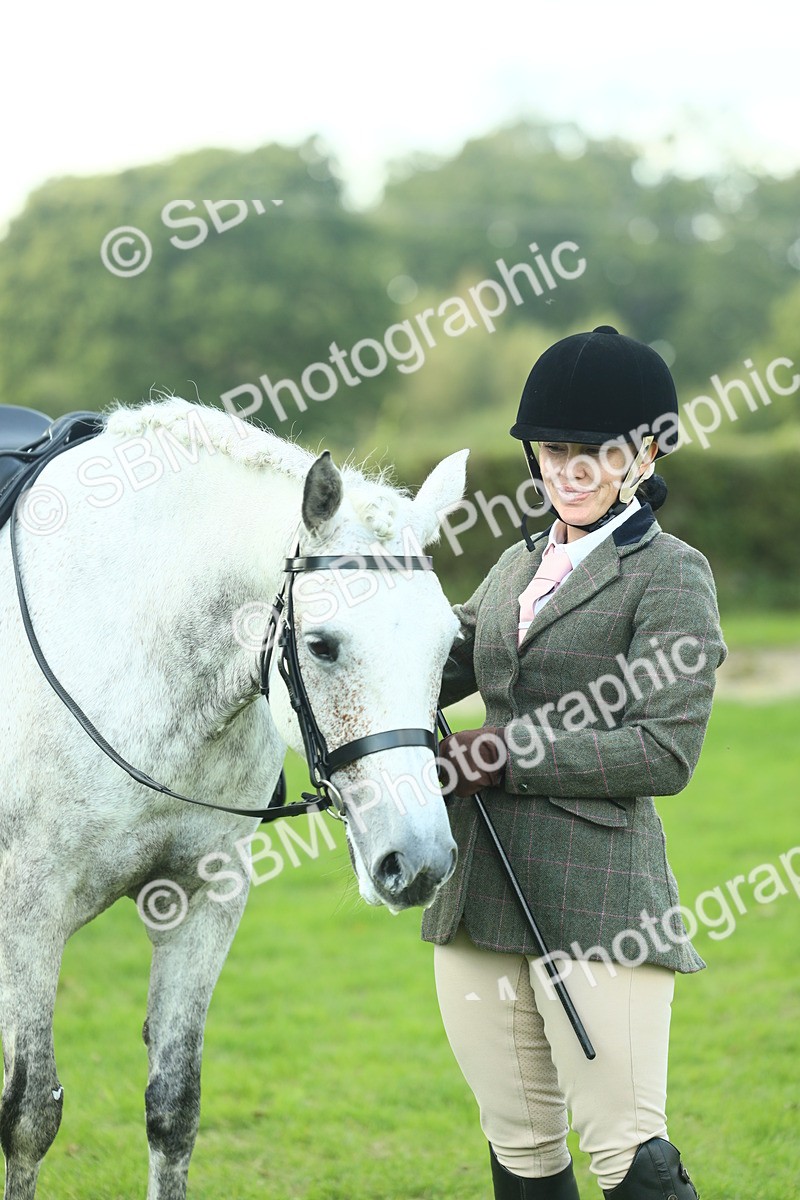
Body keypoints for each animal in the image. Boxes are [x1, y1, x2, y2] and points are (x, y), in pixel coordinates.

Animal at [0, 396, 468, 1200]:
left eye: (447, 646)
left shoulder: (201, 901)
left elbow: (174, 1107)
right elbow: (31, 1117)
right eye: (322, 645)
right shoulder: (29, 915)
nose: (420, 861)